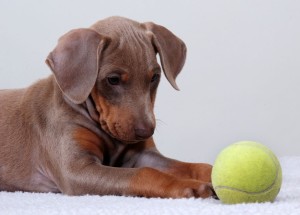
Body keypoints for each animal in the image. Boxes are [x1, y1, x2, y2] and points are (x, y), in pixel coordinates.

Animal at [0, 16, 216, 198]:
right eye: (113, 80)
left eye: (154, 77)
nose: (146, 132)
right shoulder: (76, 170)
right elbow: (145, 173)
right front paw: (187, 185)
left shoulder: (143, 155)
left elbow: (191, 166)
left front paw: (211, 172)